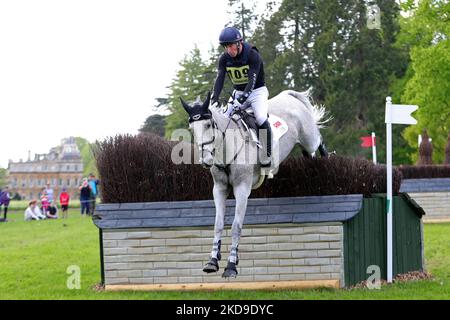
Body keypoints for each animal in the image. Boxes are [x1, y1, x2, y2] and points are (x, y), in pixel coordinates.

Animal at [181, 89, 328, 278]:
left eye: (208, 125)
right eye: (192, 129)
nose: (205, 160)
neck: (227, 148)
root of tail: (289, 95)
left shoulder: (242, 189)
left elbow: (236, 227)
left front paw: (231, 266)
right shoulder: (219, 189)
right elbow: (218, 225)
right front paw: (212, 261)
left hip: (309, 138)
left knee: (318, 143)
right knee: (309, 154)